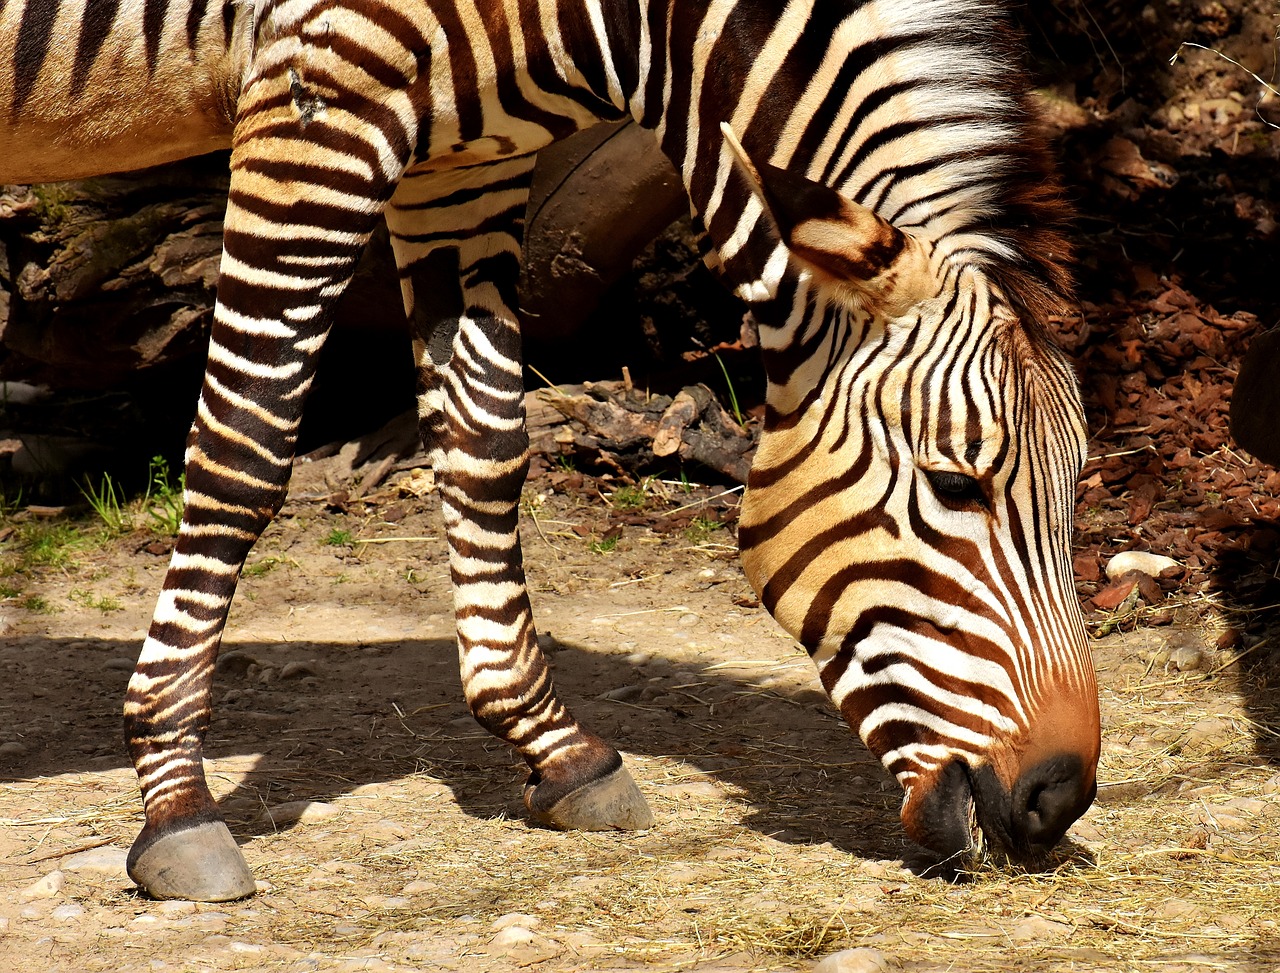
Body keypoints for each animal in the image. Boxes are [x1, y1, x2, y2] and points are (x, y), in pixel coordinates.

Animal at [0, 0, 1100, 906]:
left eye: (1073, 494)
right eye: (953, 484)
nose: (1058, 800)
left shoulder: (462, 152)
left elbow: (485, 442)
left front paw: (555, 747)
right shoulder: (319, 83)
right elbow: (247, 445)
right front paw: (175, 798)